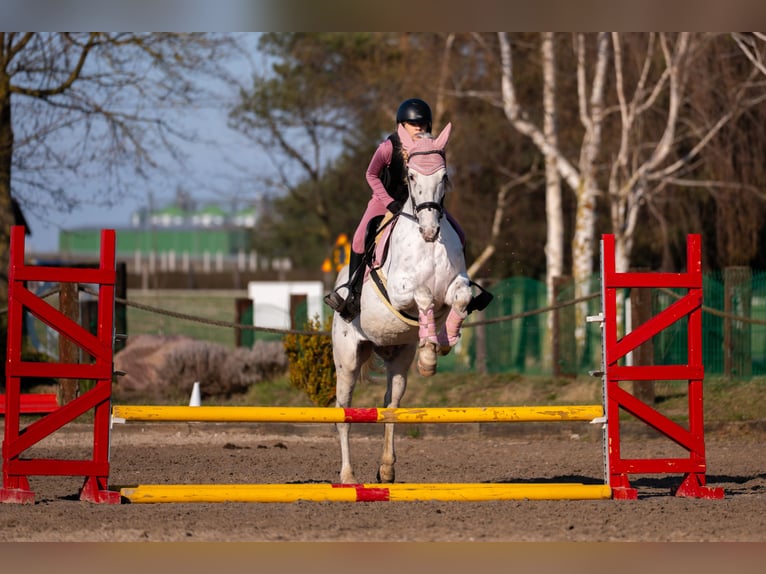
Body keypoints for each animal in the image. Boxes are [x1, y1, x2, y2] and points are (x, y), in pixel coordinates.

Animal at [330, 122, 474, 484]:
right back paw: (348, 477)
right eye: (410, 176)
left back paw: (386, 469)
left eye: (444, 176)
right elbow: (422, 295)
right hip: (347, 359)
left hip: (397, 358)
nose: (430, 231)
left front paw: (442, 344)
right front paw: (431, 353)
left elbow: (461, 298)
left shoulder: (455, 286)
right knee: (344, 412)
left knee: (390, 408)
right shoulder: (399, 292)